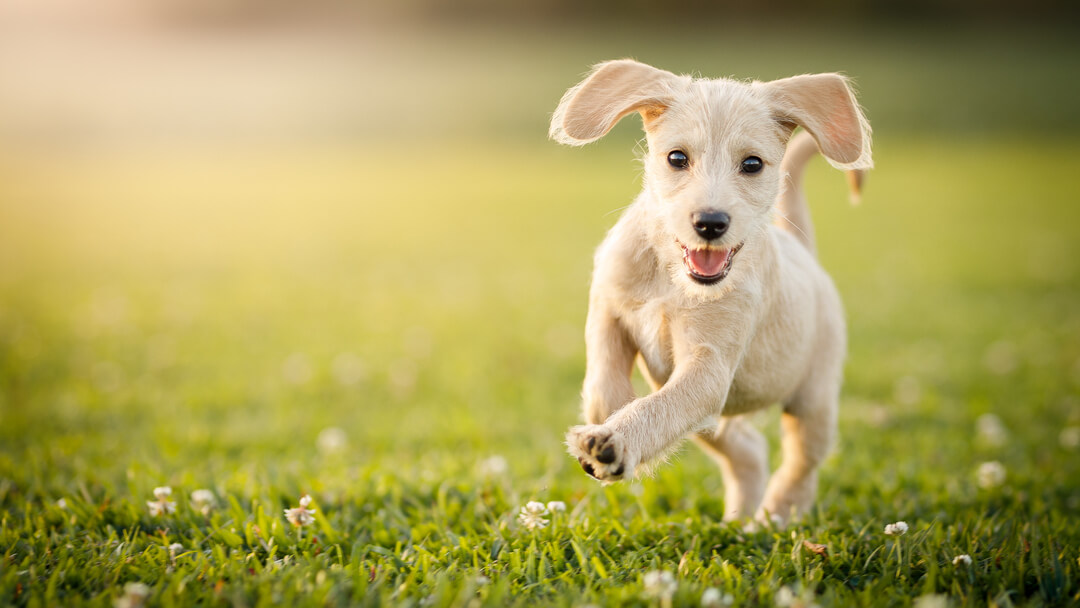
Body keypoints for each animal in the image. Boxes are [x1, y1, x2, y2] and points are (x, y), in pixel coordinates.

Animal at [552, 59, 872, 522]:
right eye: (677, 158)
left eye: (753, 164)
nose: (710, 222)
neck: (670, 277)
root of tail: (803, 250)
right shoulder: (608, 312)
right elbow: (601, 385)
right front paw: (610, 418)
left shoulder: (709, 367)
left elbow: (658, 407)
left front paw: (615, 441)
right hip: (714, 422)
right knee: (749, 450)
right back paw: (740, 521)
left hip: (812, 401)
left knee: (800, 464)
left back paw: (775, 516)